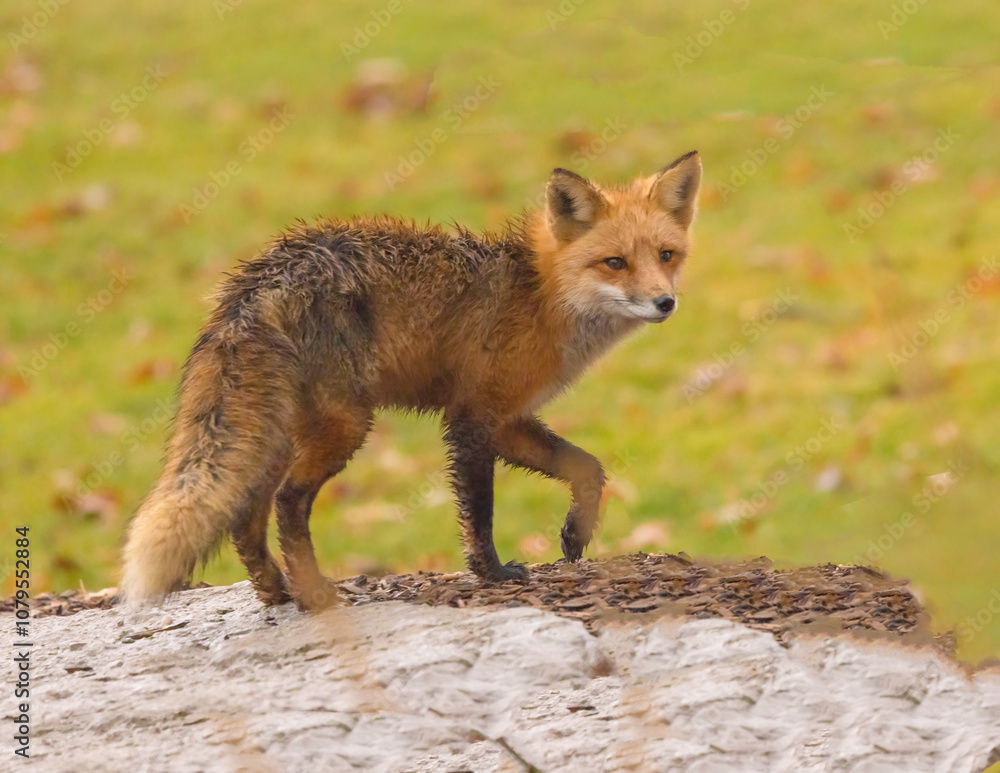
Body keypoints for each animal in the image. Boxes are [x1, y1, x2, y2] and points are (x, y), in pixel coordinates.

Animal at [121, 150, 702, 610]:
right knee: (287, 503)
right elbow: (480, 513)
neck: (538, 297)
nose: (665, 302)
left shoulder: (509, 418)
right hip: (346, 426)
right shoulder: (471, 418)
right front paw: (492, 574)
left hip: (282, 429)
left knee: (245, 513)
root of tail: (263, 276)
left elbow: (587, 468)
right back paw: (314, 594)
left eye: (666, 255)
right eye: (615, 263)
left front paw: (576, 535)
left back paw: (275, 591)